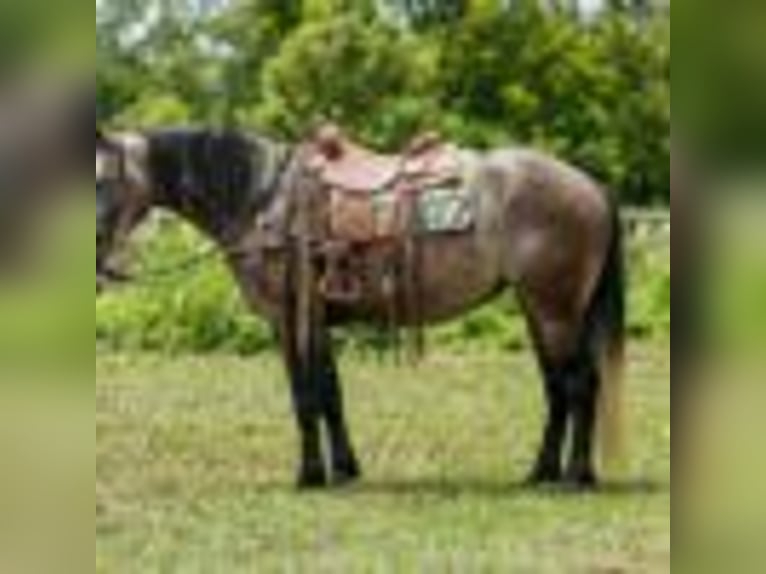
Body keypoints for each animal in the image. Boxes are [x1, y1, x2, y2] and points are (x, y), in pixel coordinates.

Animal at [96, 126, 626, 490]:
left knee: (581, 384)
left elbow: (306, 396)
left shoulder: (289, 319)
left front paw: (310, 475)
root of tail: (592, 187)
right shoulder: (316, 321)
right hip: (542, 311)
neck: (263, 201)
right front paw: (346, 470)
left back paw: (576, 476)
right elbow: (331, 394)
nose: (98, 264)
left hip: (555, 310)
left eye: (102, 182)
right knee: (558, 388)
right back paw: (542, 472)